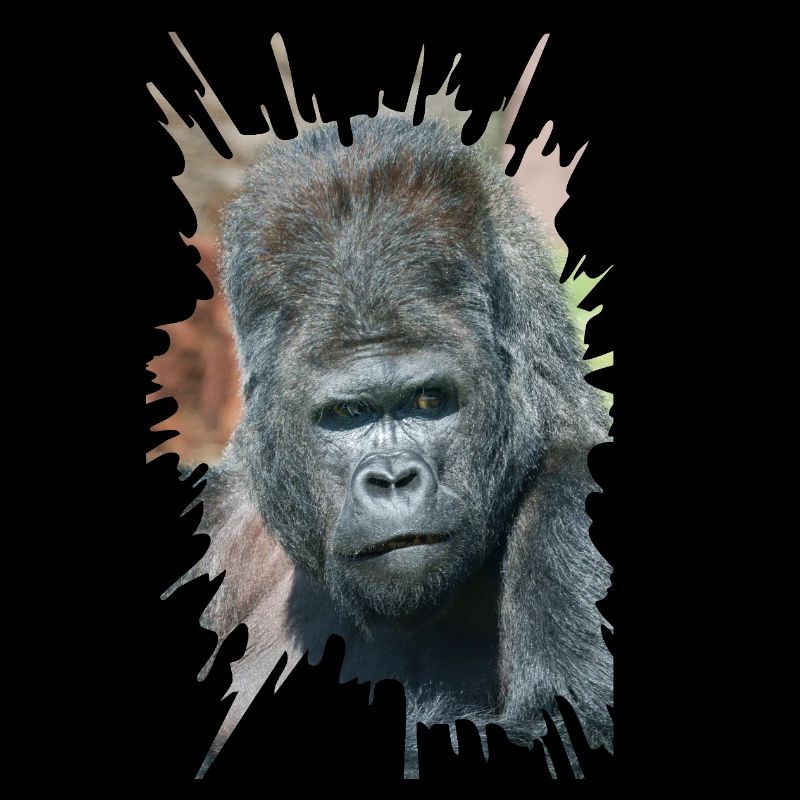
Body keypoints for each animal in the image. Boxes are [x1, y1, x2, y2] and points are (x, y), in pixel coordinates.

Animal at [174, 116, 612, 777]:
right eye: (346, 414)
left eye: (427, 401)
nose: (392, 479)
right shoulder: (214, 511)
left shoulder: (578, 499)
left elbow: (558, 737)